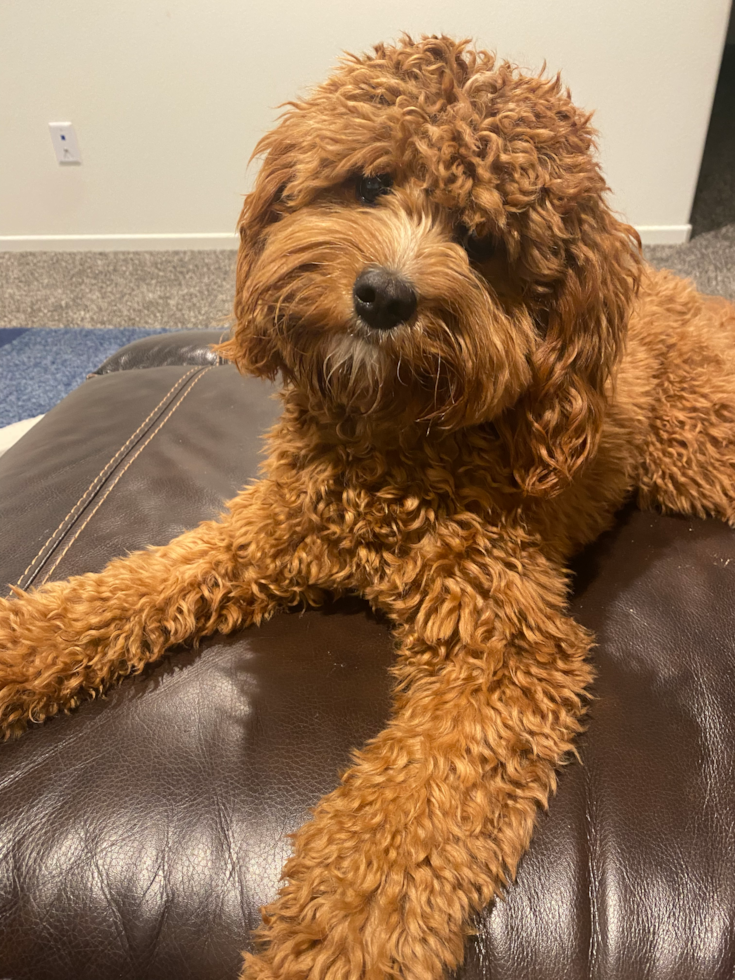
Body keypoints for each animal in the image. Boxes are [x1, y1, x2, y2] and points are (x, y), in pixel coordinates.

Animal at [1, 34, 735, 980]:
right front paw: (22, 647)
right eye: (369, 184)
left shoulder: (502, 650)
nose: (383, 295)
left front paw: (337, 944)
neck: (385, 440)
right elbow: (125, 590)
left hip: (696, 443)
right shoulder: (262, 533)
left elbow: (402, 827)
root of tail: (680, 293)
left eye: (481, 242)